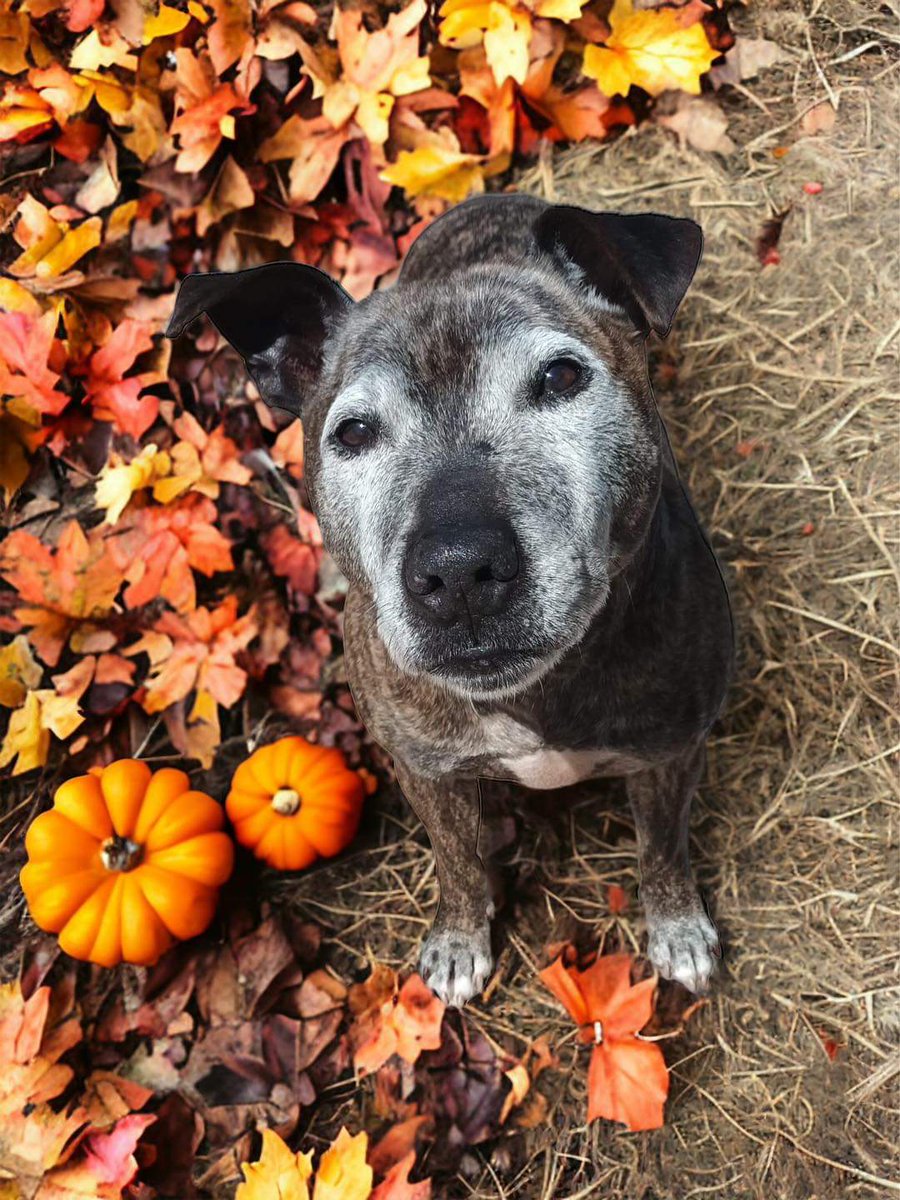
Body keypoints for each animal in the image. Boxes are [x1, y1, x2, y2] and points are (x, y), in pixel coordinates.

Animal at [168, 192, 734, 1008]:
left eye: (562, 377)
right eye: (354, 431)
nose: (458, 571)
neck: (536, 693)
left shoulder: (671, 752)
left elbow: (662, 845)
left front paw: (678, 925)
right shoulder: (427, 772)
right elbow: (459, 861)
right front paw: (461, 940)